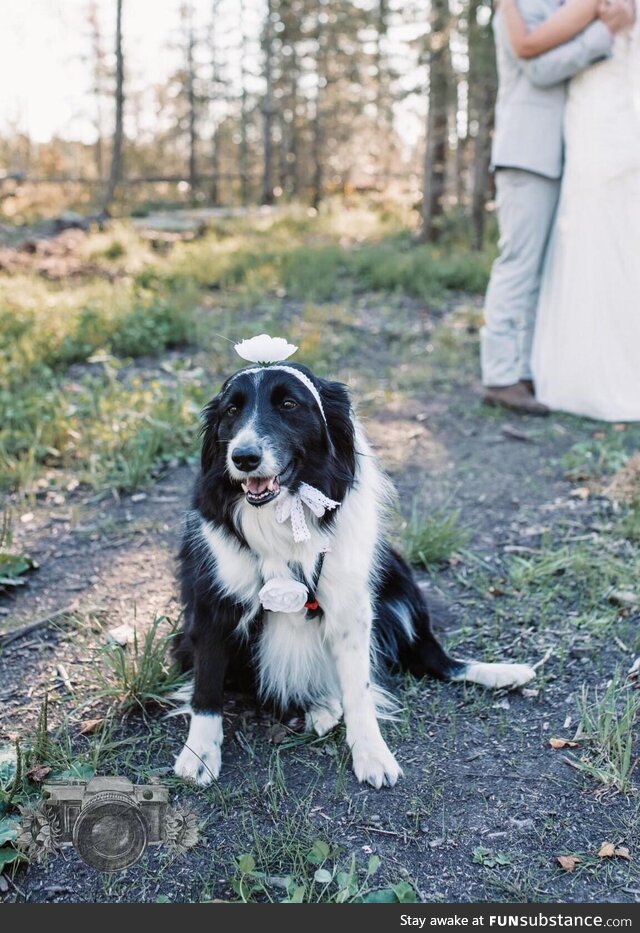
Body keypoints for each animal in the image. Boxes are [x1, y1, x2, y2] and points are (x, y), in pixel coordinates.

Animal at [174, 338, 536, 792]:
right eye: (231, 411)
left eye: (289, 404)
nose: (243, 457)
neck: (282, 511)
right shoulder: (211, 601)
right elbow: (206, 686)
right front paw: (199, 753)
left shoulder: (351, 604)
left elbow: (359, 688)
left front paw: (372, 753)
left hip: (398, 573)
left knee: (436, 658)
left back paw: (500, 673)